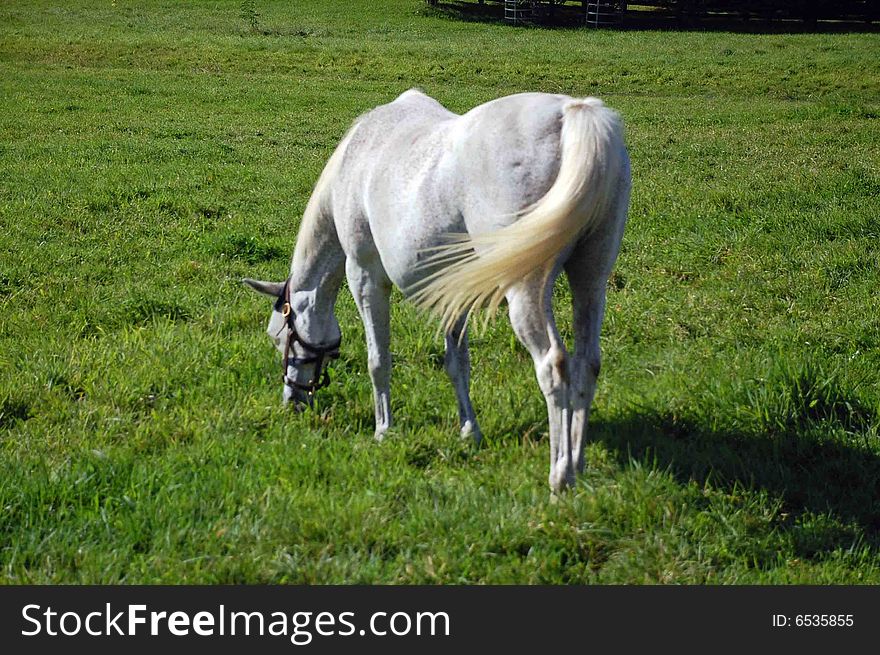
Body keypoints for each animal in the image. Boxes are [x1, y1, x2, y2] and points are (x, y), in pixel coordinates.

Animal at [246, 88, 632, 492]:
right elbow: (457, 363)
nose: (292, 400)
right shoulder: (453, 292)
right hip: (591, 280)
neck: (356, 158)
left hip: (526, 289)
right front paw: (469, 431)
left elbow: (378, 360)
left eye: (280, 338)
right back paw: (579, 463)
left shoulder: (365, 277)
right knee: (586, 363)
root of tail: (570, 112)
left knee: (553, 366)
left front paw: (383, 430)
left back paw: (561, 475)